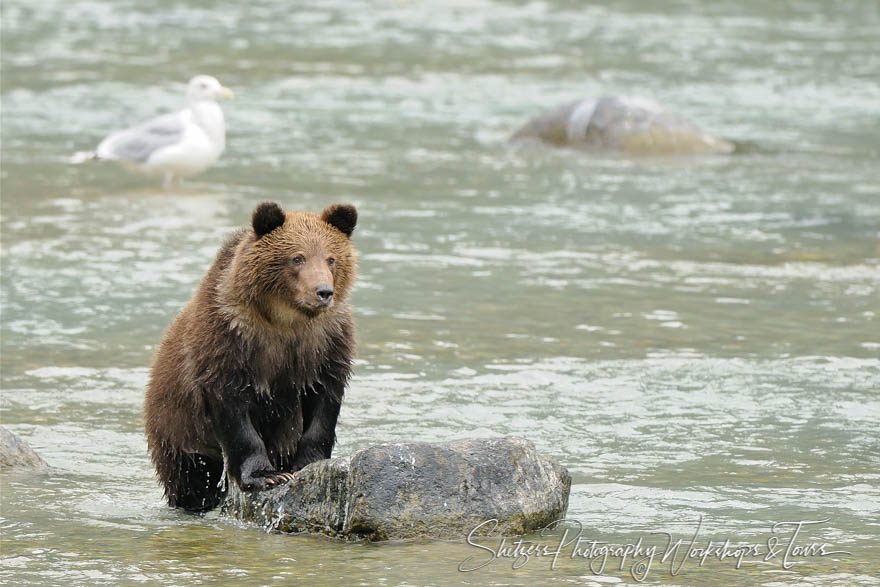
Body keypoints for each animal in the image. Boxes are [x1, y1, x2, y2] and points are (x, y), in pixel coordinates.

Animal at [146, 201, 360, 510]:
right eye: (298, 258)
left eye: (331, 258)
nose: (323, 292)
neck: (287, 321)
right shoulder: (229, 340)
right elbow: (234, 413)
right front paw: (265, 475)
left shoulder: (327, 343)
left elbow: (324, 402)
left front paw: (308, 462)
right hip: (178, 424)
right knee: (191, 477)